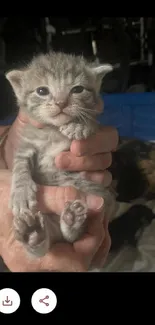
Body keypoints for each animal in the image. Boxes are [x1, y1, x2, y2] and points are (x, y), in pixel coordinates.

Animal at [5, 52, 114, 256]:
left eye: (77, 89)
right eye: (42, 91)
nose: (61, 103)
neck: (52, 131)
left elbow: (92, 122)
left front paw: (79, 125)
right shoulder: (26, 144)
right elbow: (21, 165)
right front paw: (21, 193)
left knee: (73, 237)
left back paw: (71, 220)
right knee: (40, 249)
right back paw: (32, 233)